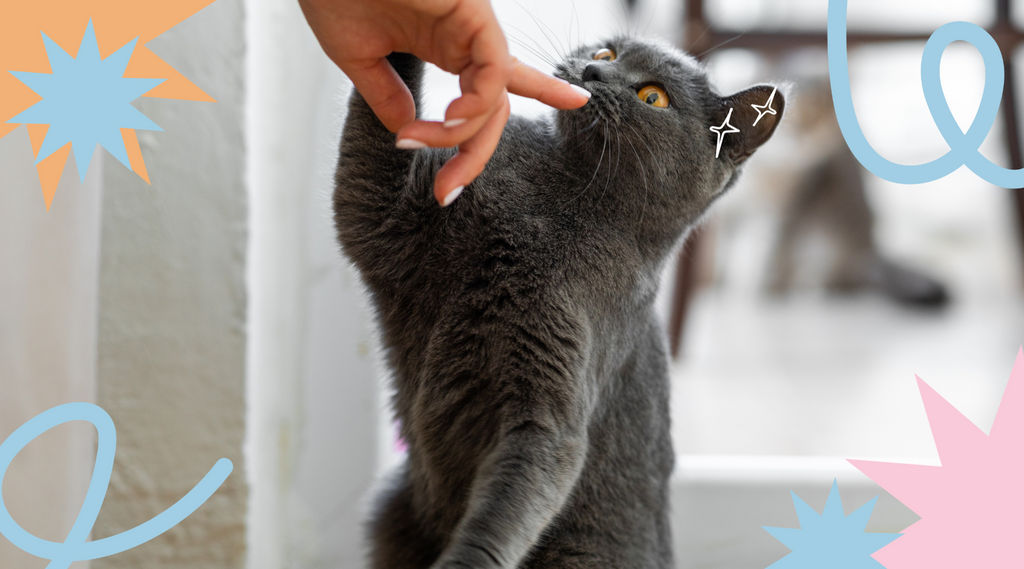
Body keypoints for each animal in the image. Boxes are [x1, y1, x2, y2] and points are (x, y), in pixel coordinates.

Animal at [335, 37, 782, 564]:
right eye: (607, 53)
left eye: (653, 97)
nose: (592, 72)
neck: (551, 197)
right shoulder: (390, 218)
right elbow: (369, 169)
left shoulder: (549, 396)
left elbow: (518, 495)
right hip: (394, 508)